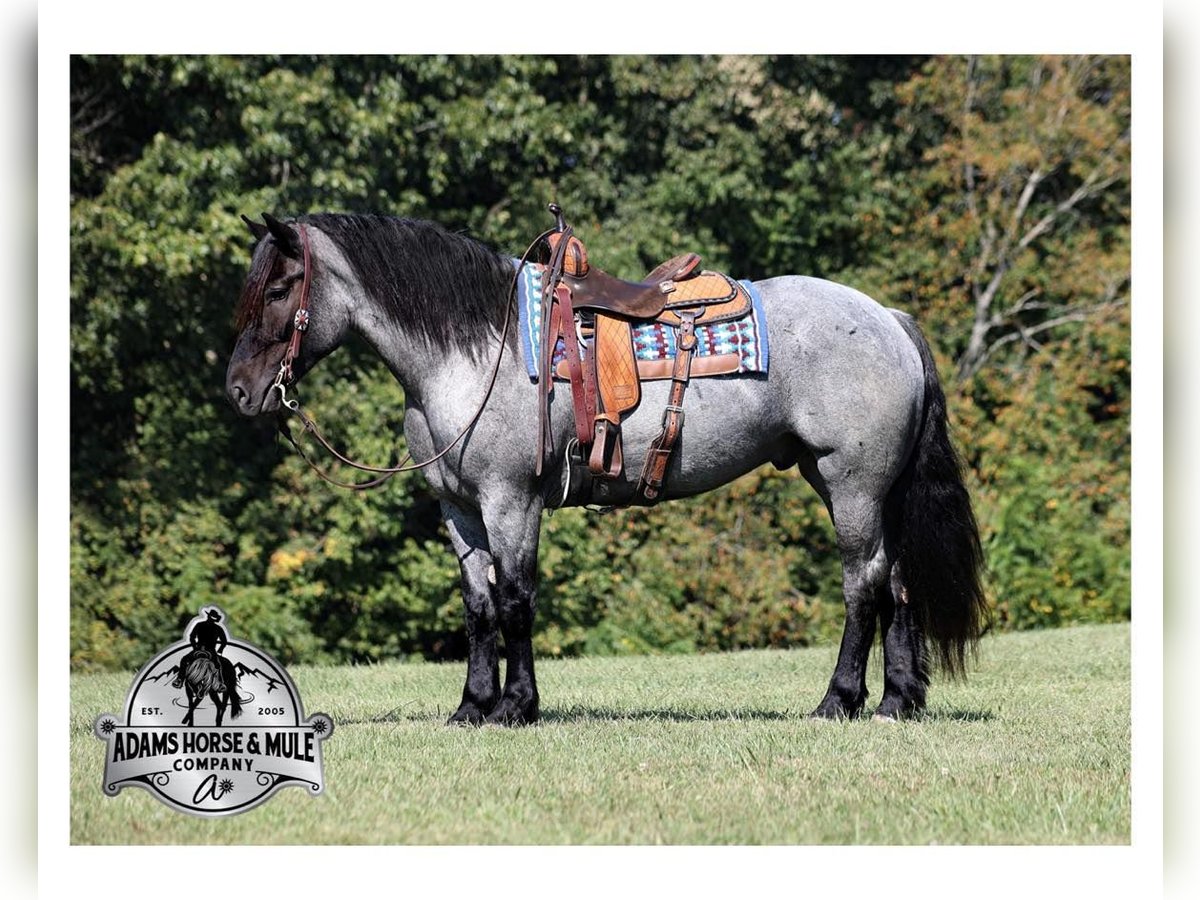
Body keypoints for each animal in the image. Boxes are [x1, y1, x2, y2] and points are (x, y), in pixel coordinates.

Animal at [223, 210, 984, 724]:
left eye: (281, 287)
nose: (238, 390)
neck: (477, 349)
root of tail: (888, 318)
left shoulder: (511, 501)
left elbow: (516, 600)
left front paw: (516, 707)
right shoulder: (460, 511)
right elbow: (478, 607)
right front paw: (472, 706)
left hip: (852, 484)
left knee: (864, 585)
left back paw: (839, 700)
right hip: (859, 487)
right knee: (900, 584)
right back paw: (897, 702)